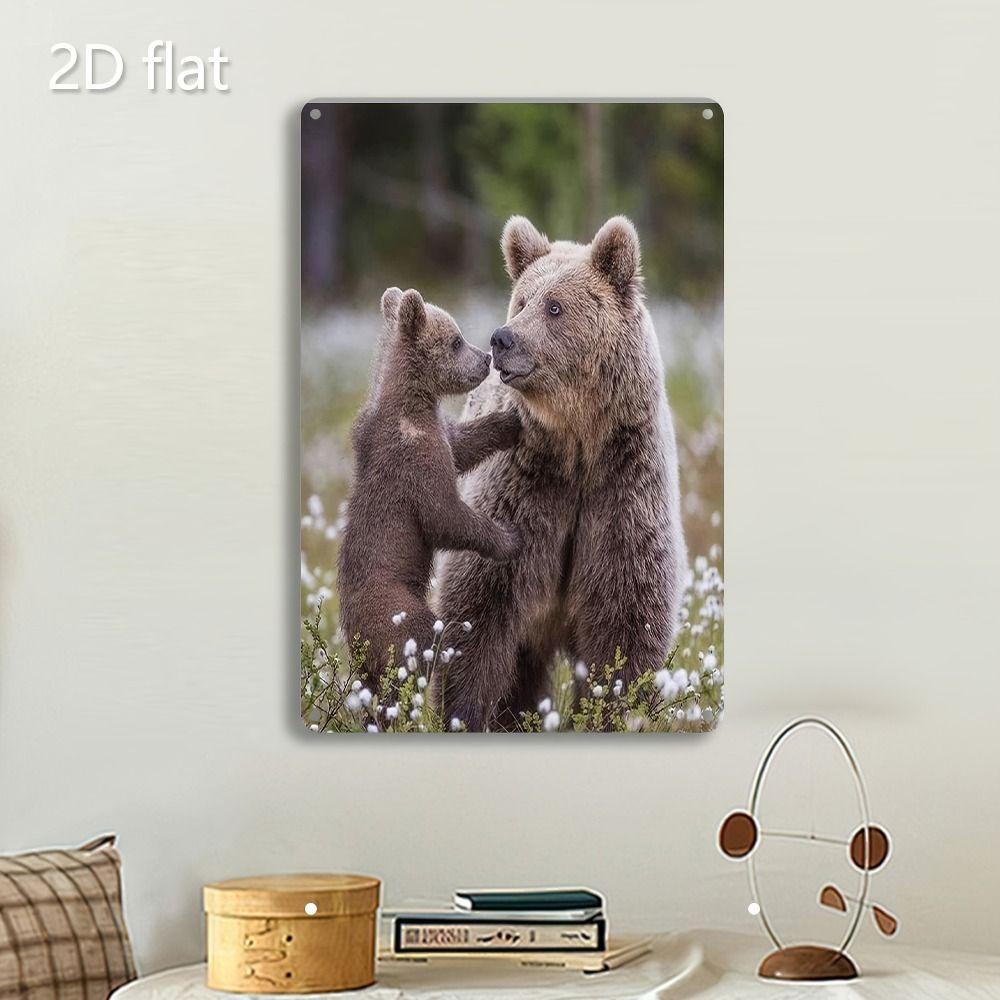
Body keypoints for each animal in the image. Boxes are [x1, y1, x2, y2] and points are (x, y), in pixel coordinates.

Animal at [338, 287, 522, 687]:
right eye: (456, 340)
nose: (485, 358)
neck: (413, 403)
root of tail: (355, 641)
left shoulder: (439, 435)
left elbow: (464, 444)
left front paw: (511, 420)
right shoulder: (415, 457)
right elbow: (443, 516)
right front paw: (508, 538)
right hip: (397, 608)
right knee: (419, 641)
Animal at [435, 216, 687, 731]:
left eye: (555, 307)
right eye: (522, 300)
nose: (502, 339)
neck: (578, 442)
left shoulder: (621, 490)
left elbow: (625, 622)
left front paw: (615, 712)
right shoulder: (526, 489)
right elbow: (477, 609)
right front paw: (465, 714)